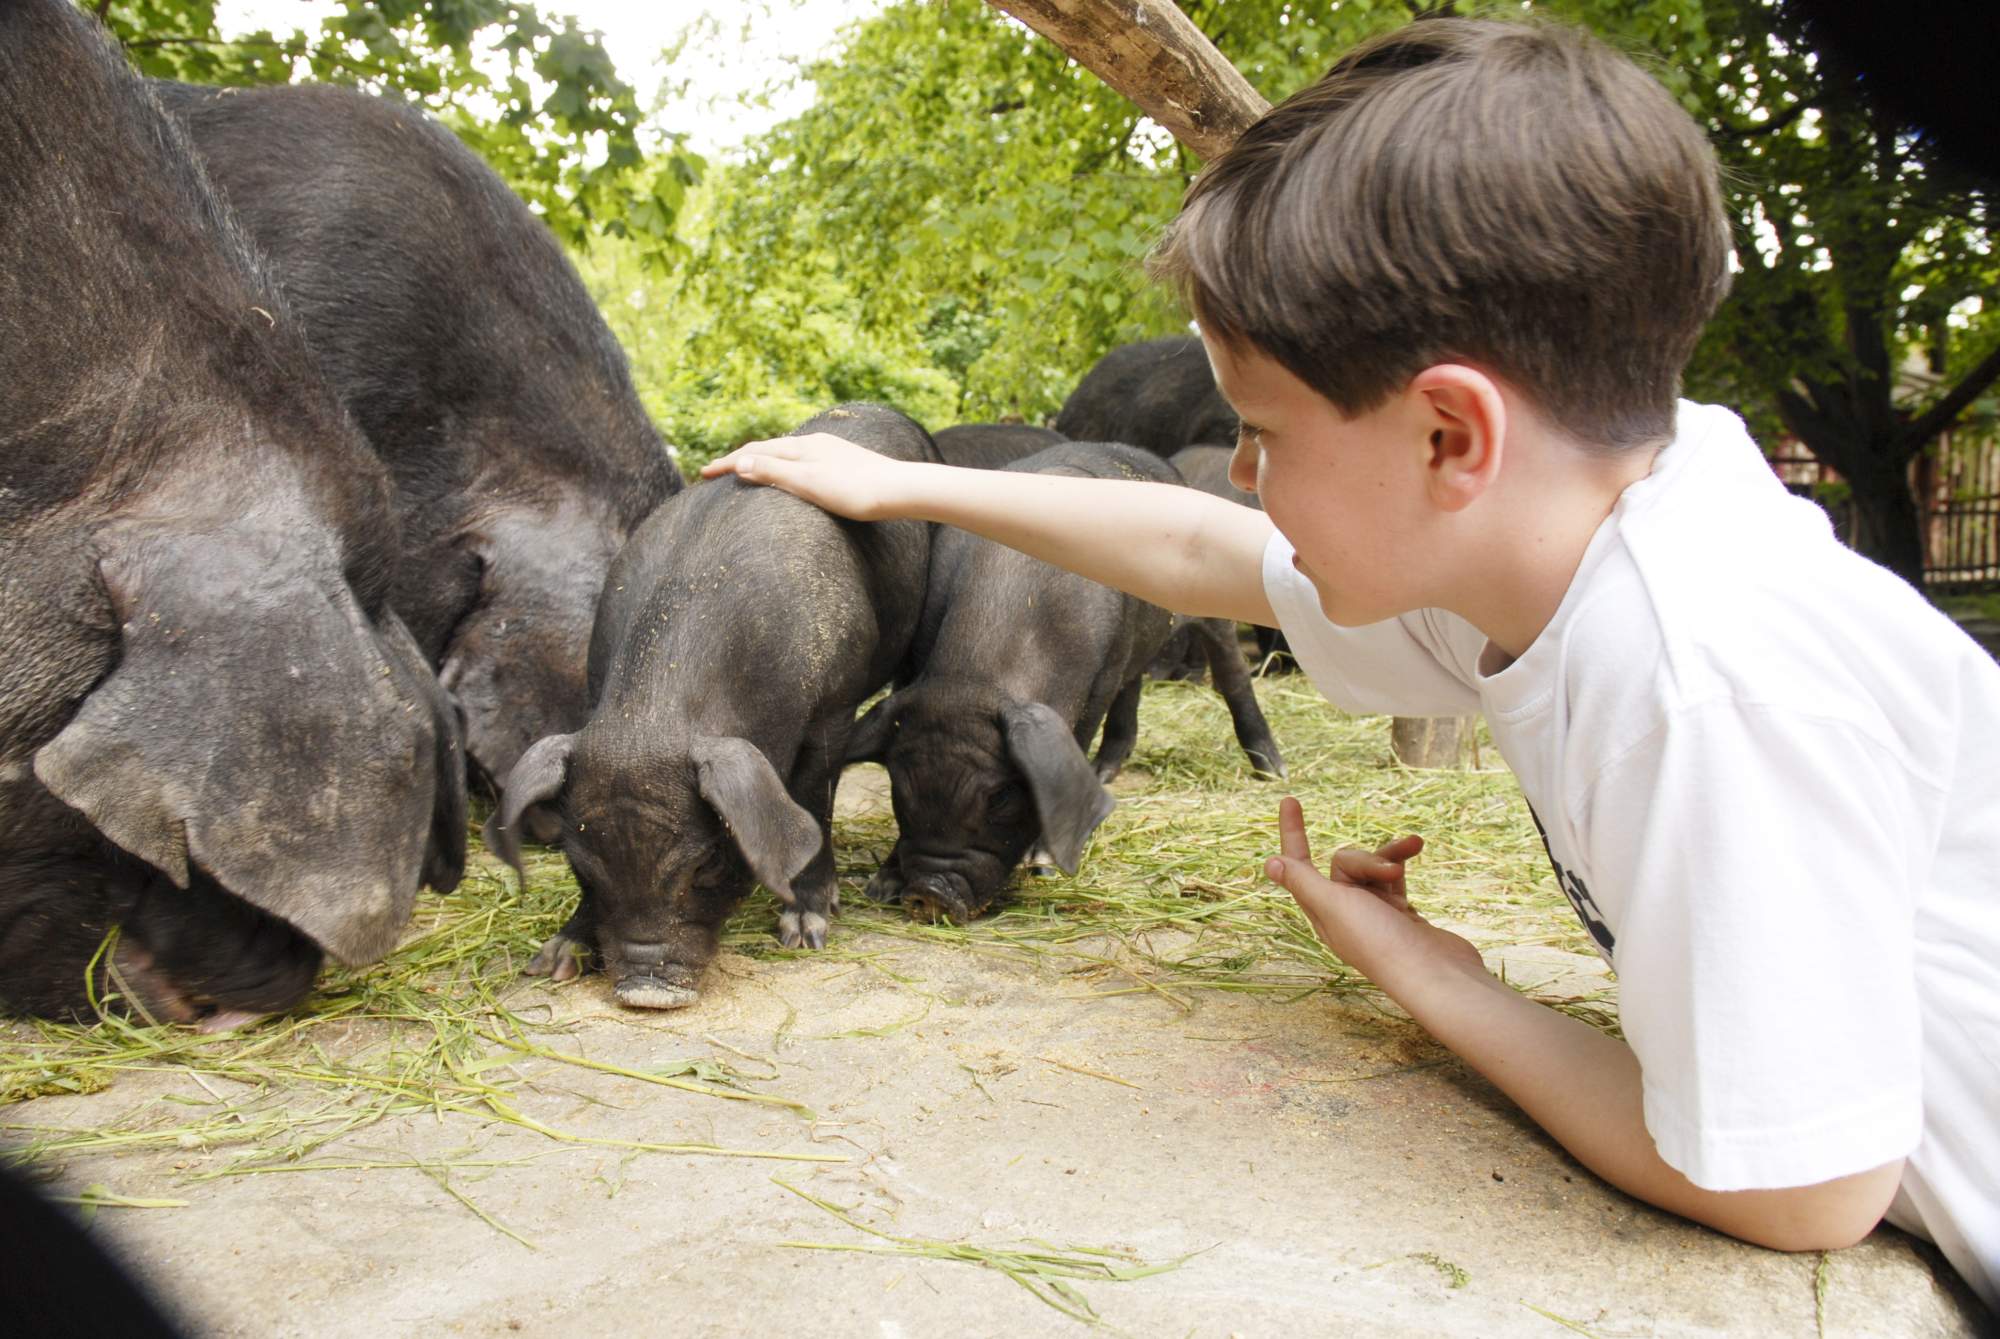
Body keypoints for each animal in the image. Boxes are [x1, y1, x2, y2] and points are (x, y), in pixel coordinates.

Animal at [488, 405, 932, 1007]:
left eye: (708, 862)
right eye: (583, 868)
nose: (646, 991)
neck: (650, 715)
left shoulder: (832, 708)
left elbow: (813, 801)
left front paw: (804, 931)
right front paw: (555, 961)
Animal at [844, 445, 1280, 927]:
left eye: (1001, 796)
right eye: (899, 788)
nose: (928, 893)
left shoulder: (1097, 683)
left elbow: (1083, 734)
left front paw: (1044, 866)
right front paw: (880, 885)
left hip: (1204, 618)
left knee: (1231, 676)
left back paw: (1272, 772)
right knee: (1132, 689)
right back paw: (1106, 772)